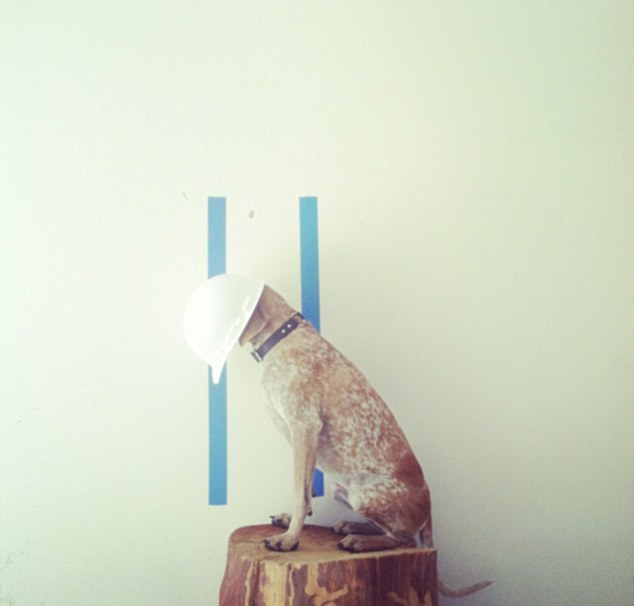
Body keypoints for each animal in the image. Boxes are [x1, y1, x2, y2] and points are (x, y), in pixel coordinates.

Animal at [238, 284, 492, 598]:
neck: (283, 335)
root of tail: (430, 505)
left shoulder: (304, 427)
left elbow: (300, 493)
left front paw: (289, 539)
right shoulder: (301, 438)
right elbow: (306, 490)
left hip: (362, 490)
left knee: (405, 539)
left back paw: (360, 541)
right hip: (345, 491)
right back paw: (351, 527)